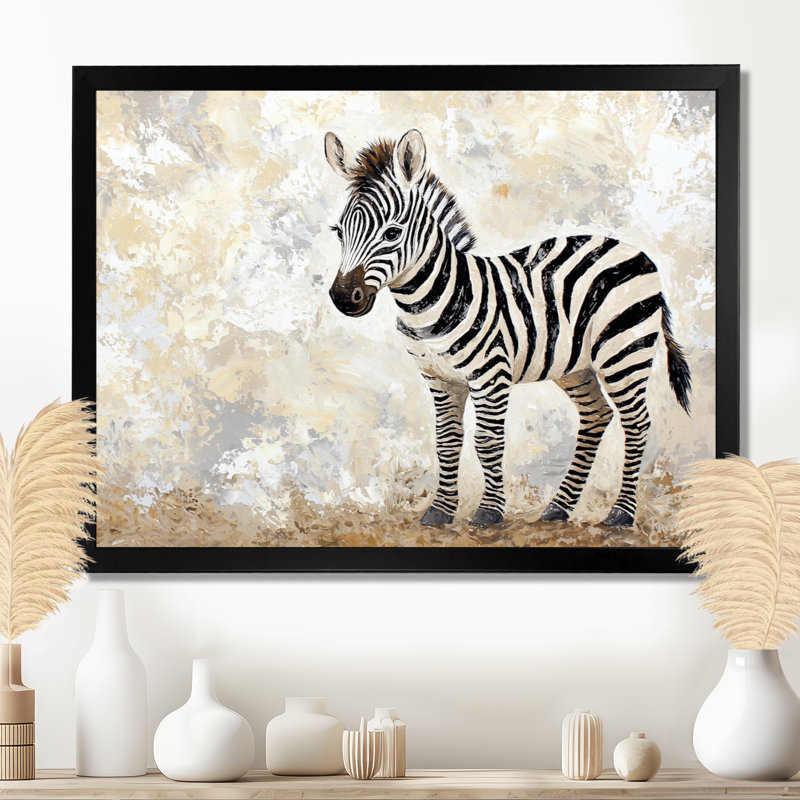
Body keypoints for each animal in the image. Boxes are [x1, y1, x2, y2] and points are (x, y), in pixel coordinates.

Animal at [324, 128, 691, 529]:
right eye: (338, 232)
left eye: (392, 233)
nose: (343, 298)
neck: (434, 302)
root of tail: (634, 250)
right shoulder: (439, 379)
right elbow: (447, 442)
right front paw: (439, 511)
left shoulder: (491, 374)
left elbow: (488, 442)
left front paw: (488, 511)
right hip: (575, 365)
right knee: (597, 415)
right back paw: (558, 507)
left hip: (623, 350)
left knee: (636, 422)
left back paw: (620, 514)